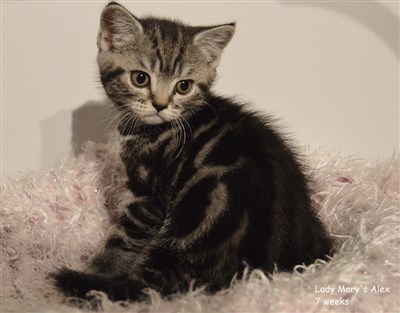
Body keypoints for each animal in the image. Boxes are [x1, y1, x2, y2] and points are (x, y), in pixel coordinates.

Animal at [54, 1, 334, 302]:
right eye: (140, 78)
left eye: (183, 86)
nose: (160, 105)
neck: (155, 130)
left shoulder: (147, 196)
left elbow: (121, 239)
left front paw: (97, 270)